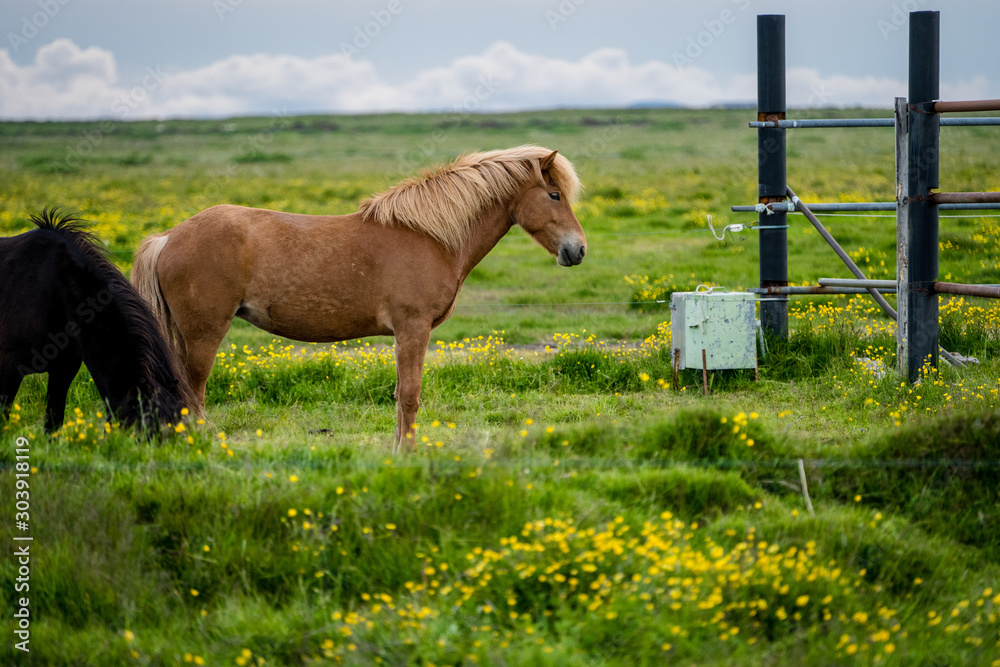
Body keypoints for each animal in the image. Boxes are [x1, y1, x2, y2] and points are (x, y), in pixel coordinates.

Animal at [133, 145, 584, 448]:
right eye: (554, 195)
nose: (577, 250)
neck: (429, 237)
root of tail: (168, 237)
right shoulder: (413, 329)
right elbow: (410, 396)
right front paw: (407, 454)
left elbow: (401, 395)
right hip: (204, 334)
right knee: (193, 393)